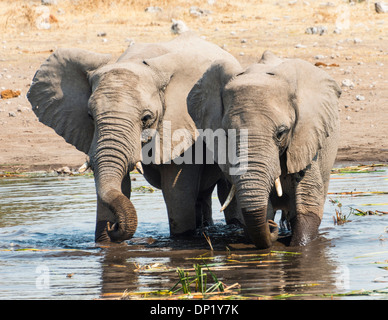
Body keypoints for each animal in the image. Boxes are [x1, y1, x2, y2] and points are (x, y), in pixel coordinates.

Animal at [27, 31, 241, 242]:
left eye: (147, 118)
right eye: (89, 116)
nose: (113, 226)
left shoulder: (183, 127)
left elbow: (177, 193)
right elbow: (121, 184)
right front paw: (106, 242)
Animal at [186, 50, 342, 250]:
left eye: (281, 133)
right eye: (226, 134)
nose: (271, 226)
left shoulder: (305, 138)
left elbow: (307, 203)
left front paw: (300, 247)